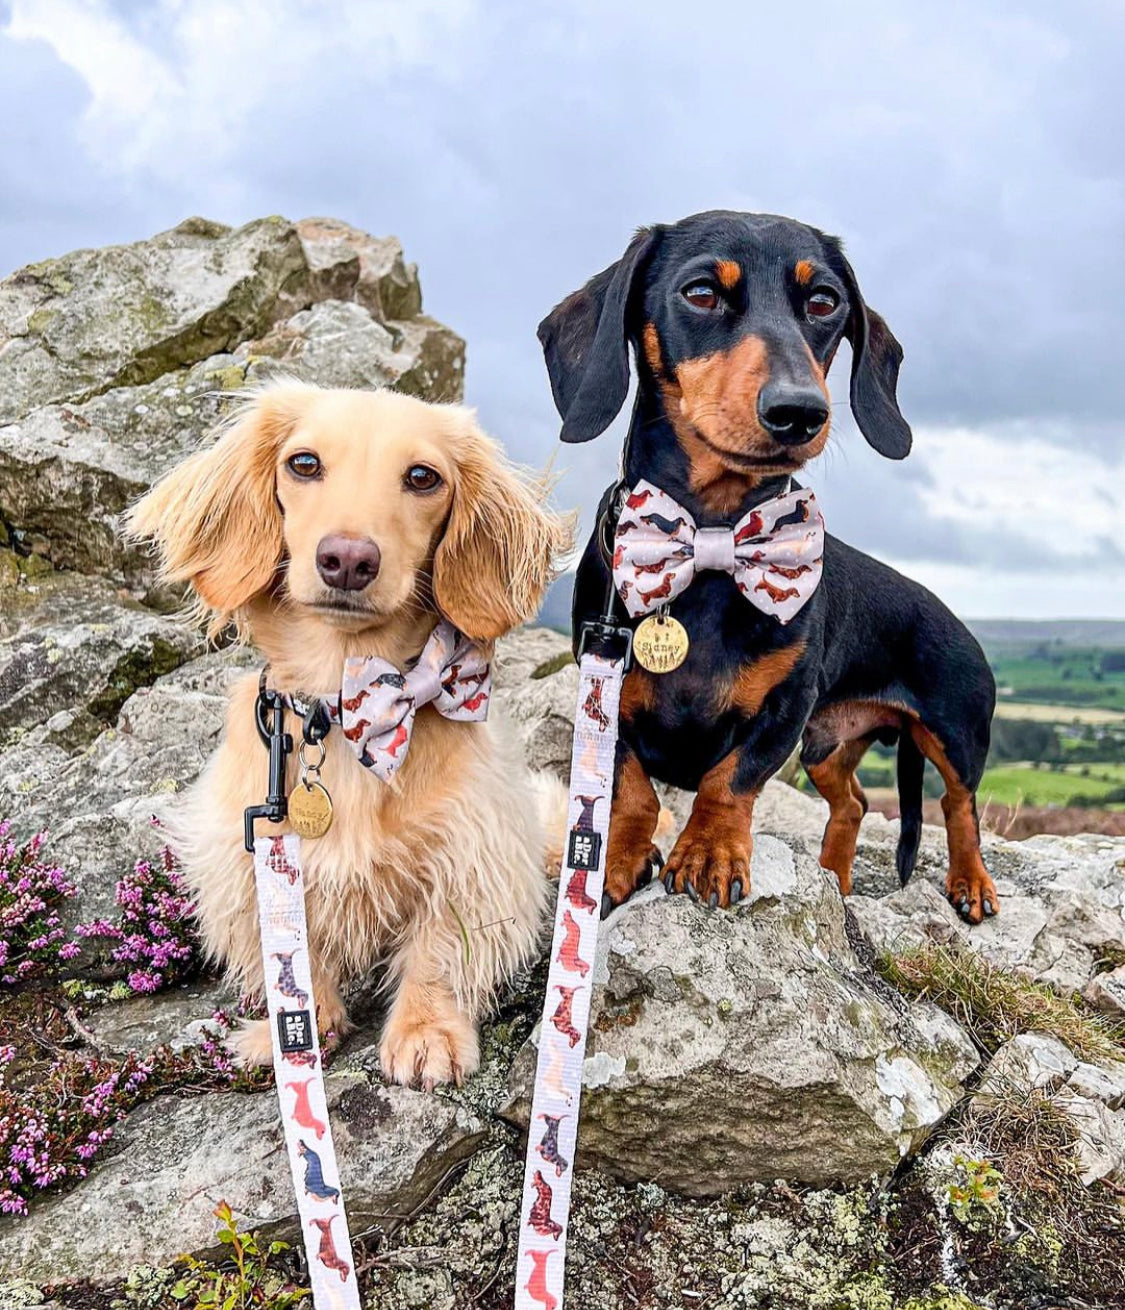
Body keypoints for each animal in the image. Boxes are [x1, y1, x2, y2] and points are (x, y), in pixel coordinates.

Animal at [129, 379, 571, 1084]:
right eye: (303, 463)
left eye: (423, 477)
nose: (347, 559)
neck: (346, 708)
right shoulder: (251, 852)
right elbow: (295, 954)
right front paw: (293, 1031)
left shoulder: (472, 849)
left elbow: (439, 951)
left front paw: (425, 1033)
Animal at [542, 212, 1000, 922]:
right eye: (701, 292)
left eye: (825, 302)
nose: (799, 411)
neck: (712, 539)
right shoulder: (602, 688)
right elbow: (633, 788)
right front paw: (615, 861)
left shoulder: (785, 708)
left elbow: (729, 778)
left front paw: (707, 853)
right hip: (827, 748)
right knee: (855, 802)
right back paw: (834, 878)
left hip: (955, 733)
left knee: (959, 806)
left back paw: (971, 883)